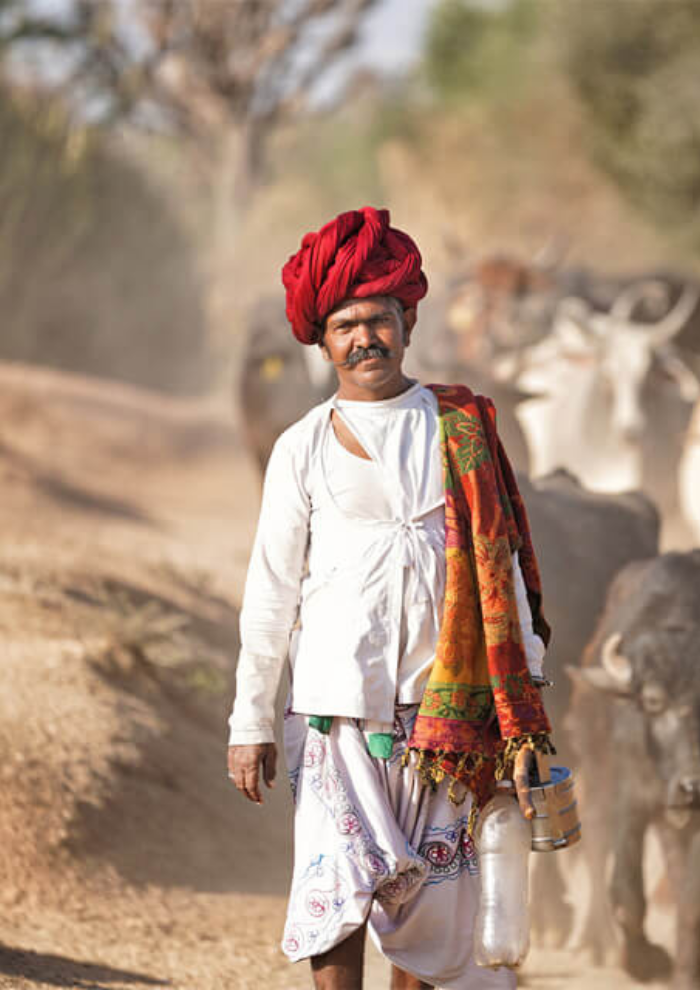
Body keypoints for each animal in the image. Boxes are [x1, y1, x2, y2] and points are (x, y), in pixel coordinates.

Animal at [568, 551, 700, 988]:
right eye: (654, 702)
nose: (692, 786)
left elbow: (691, 899)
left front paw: (685, 969)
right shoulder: (631, 799)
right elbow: (626, 893)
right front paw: (644, 961)